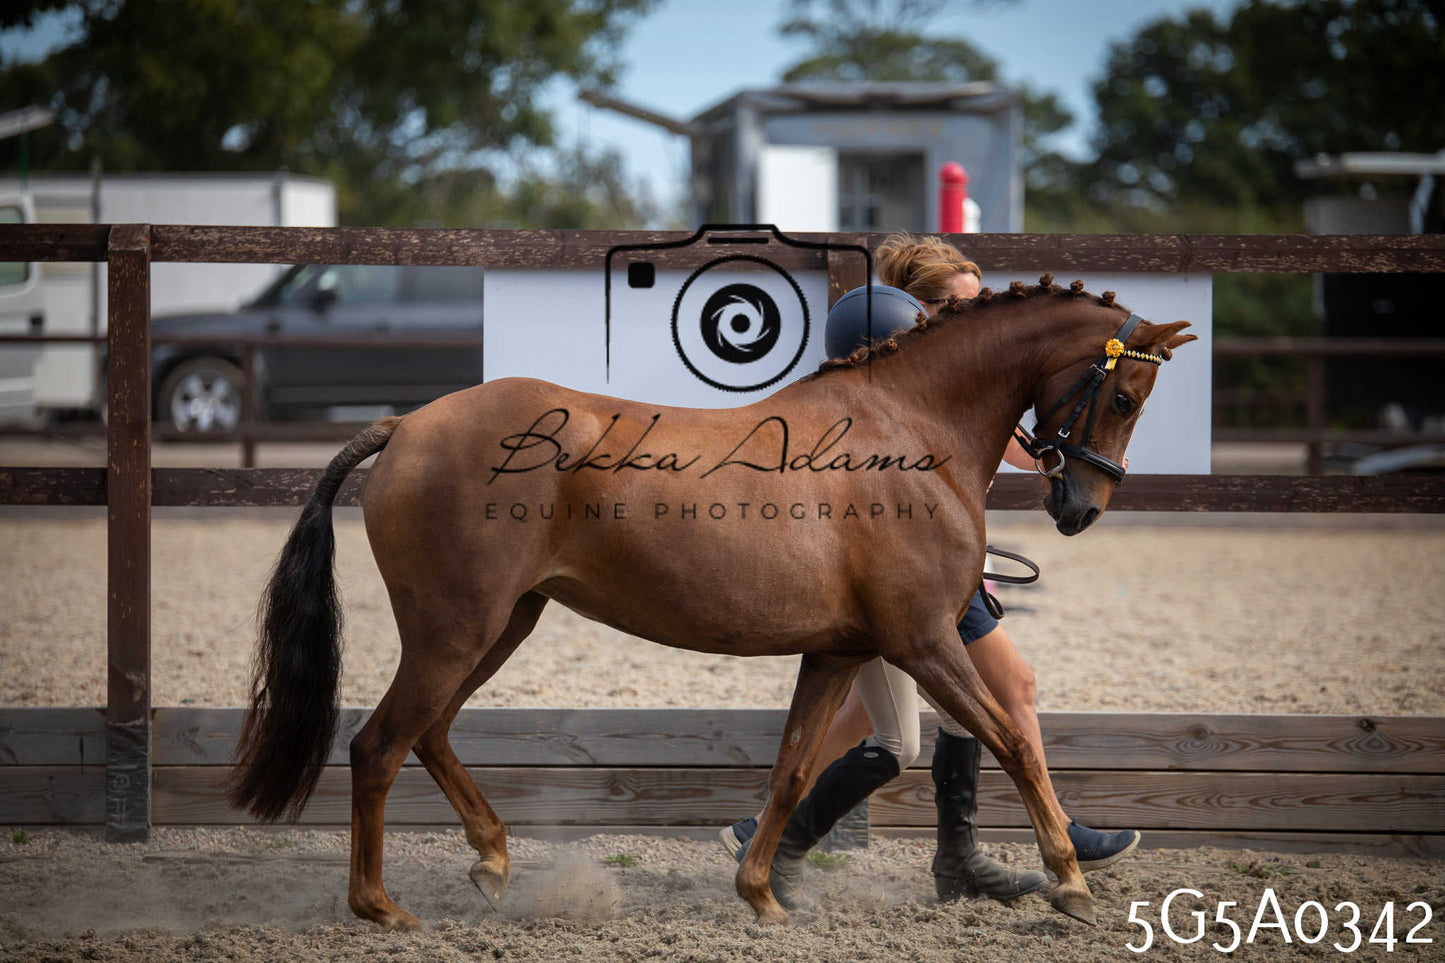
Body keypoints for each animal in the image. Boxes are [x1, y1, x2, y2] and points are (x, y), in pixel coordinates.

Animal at [227, 274, 1196, 931]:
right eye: (1123, 394)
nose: (1080, 508)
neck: (907, 434)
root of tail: (410, 424)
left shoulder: (839, 651)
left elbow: (793, 770)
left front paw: (761, 895)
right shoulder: (924, 640)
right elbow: (1012, 742)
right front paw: (1069, 882)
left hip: (502, 623)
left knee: (427, 734)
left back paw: (494, 862)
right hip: (455, 628)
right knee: (379, 744)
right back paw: (381, 906)